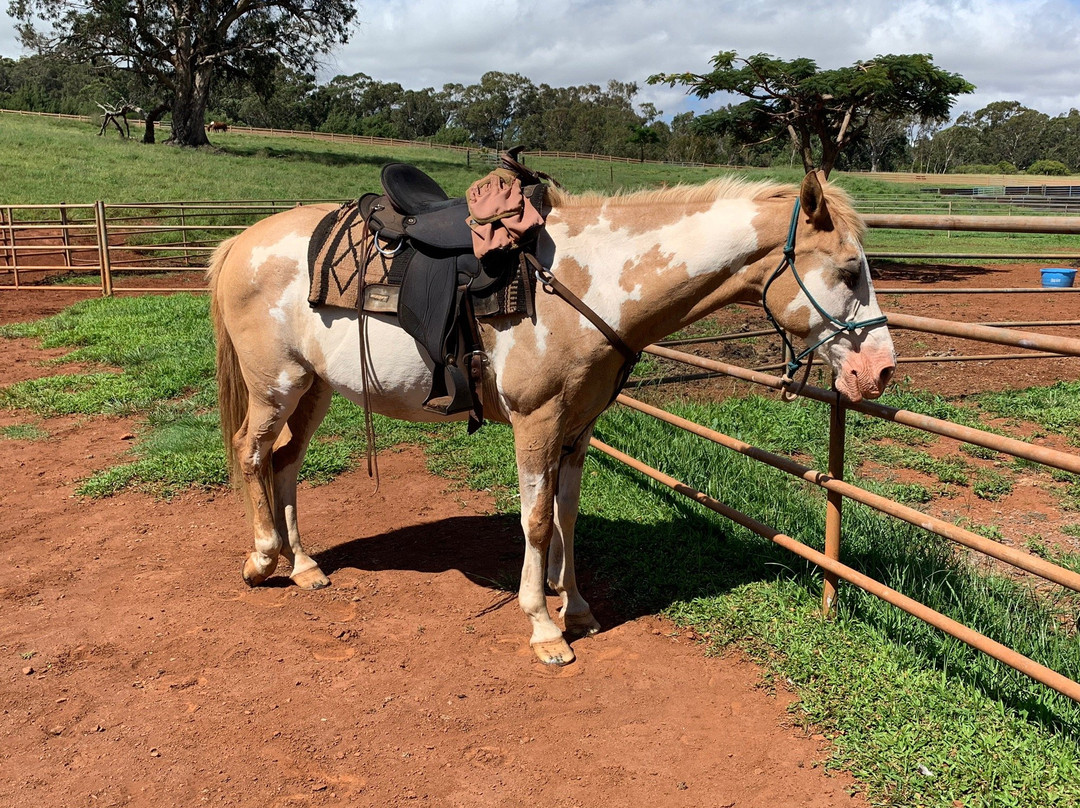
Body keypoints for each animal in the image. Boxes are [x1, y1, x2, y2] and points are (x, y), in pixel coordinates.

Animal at [207, 170, 895, 666]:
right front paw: (543, 626)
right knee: (250, 451)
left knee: (286, 462)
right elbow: (536, 521)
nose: (882, 370)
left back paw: (304, 566)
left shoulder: (578, 426)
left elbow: (566, 514)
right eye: (848, 270)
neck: (587, 283)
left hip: (315, 388)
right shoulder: (537, 421)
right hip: (275, 387)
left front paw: (579, 606)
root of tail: (239, 243)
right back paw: (263, 560)